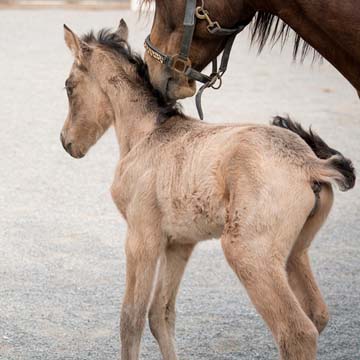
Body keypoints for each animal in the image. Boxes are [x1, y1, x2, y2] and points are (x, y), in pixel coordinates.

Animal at [60, 20, 356, 360]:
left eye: (68, 86)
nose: (66, 142)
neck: (149, 133)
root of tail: (310, 163)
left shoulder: (141, 237)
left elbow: (131, 318)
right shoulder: (179, 243)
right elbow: (160, 314)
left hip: (249, 252)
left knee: (296, 331)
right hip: (296, 251)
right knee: (317, 313)